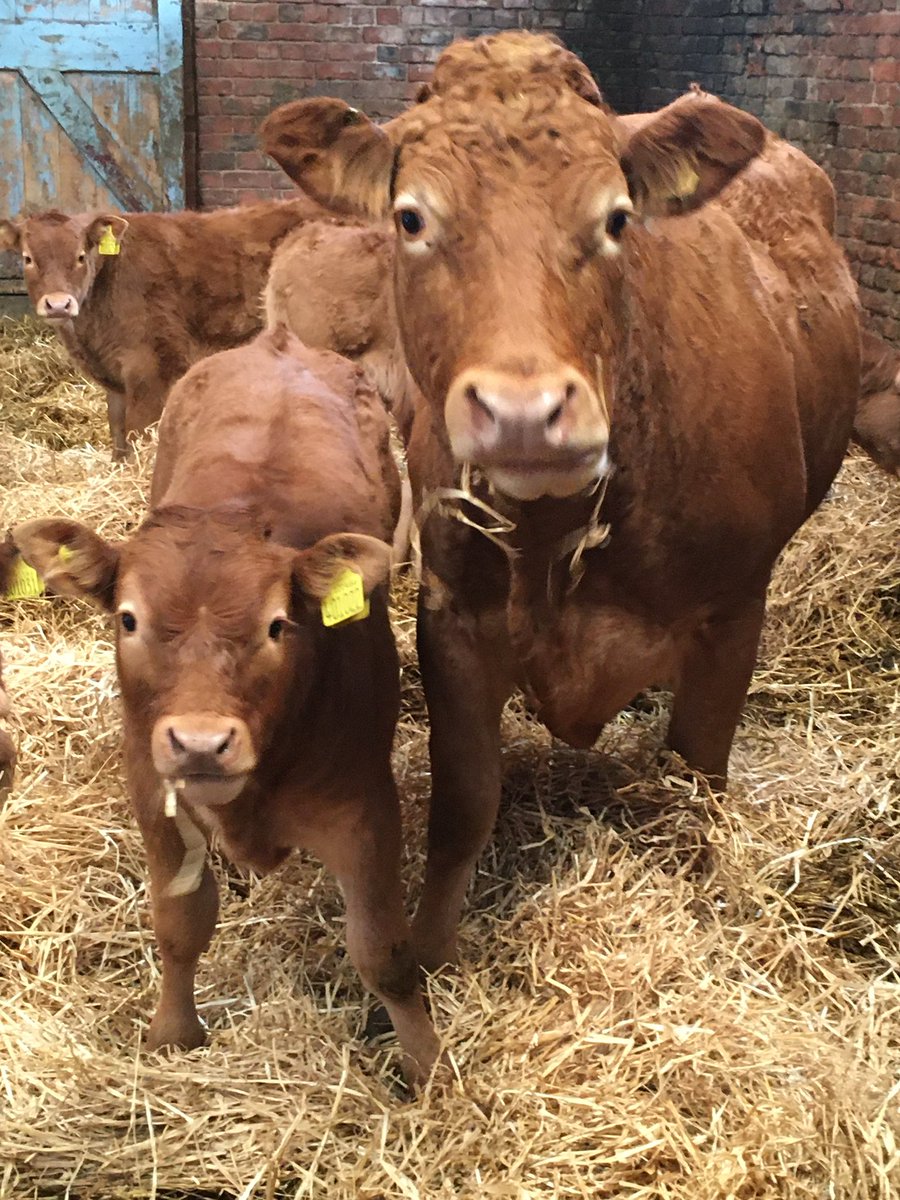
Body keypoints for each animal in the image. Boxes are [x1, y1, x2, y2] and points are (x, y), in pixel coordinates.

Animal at [0, 198, 330, 459]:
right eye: (28, 258)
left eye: (81, 256)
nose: (58, 304)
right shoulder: (114, 380)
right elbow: (118, 434)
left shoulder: (151, 367)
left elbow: (139, 431)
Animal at [14, 326, 440, 1087]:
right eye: (128, 619)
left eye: (277, 625)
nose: (200, 743)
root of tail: (278, 342)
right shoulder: (153, 791)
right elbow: (181, 924)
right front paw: (172, 1035)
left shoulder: (364, 806)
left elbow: (383, 952)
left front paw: (425, 1068)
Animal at [260, 31, 861, 971]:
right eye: (411, 219)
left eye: (616, 220)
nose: (523, 412)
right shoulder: (455, 618)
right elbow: (464, 804)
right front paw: (428, 955)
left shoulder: (732, 615)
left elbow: (697, 789)